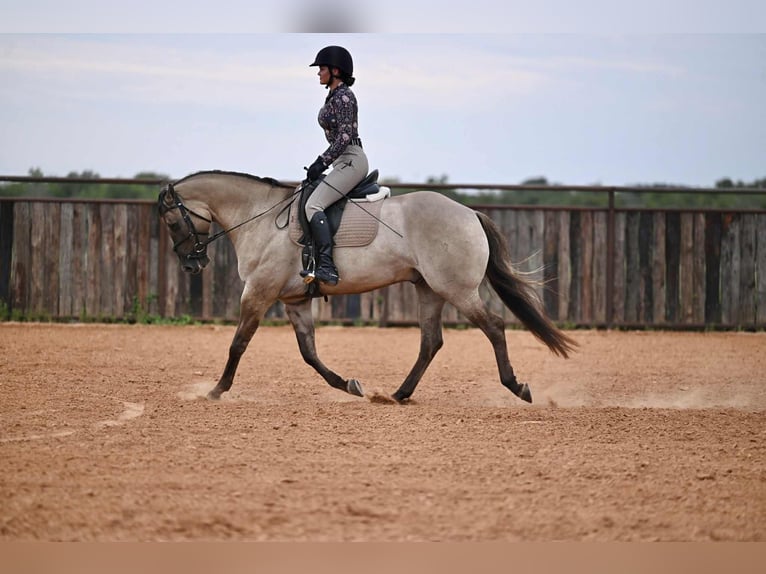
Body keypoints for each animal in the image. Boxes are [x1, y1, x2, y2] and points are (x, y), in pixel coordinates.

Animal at [157, 170, 576, 403]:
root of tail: (468, 212)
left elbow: (238, 343)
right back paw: (398, 394)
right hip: (429, 290)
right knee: (431, 342)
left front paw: (216, 391)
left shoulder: (258, 294)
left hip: (455, 289)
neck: (259, 218)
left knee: (493, 327)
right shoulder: (295, 301)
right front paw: (350, 385)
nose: (193, 264)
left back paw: (516, 386)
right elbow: (309, 354)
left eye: (172, 222)